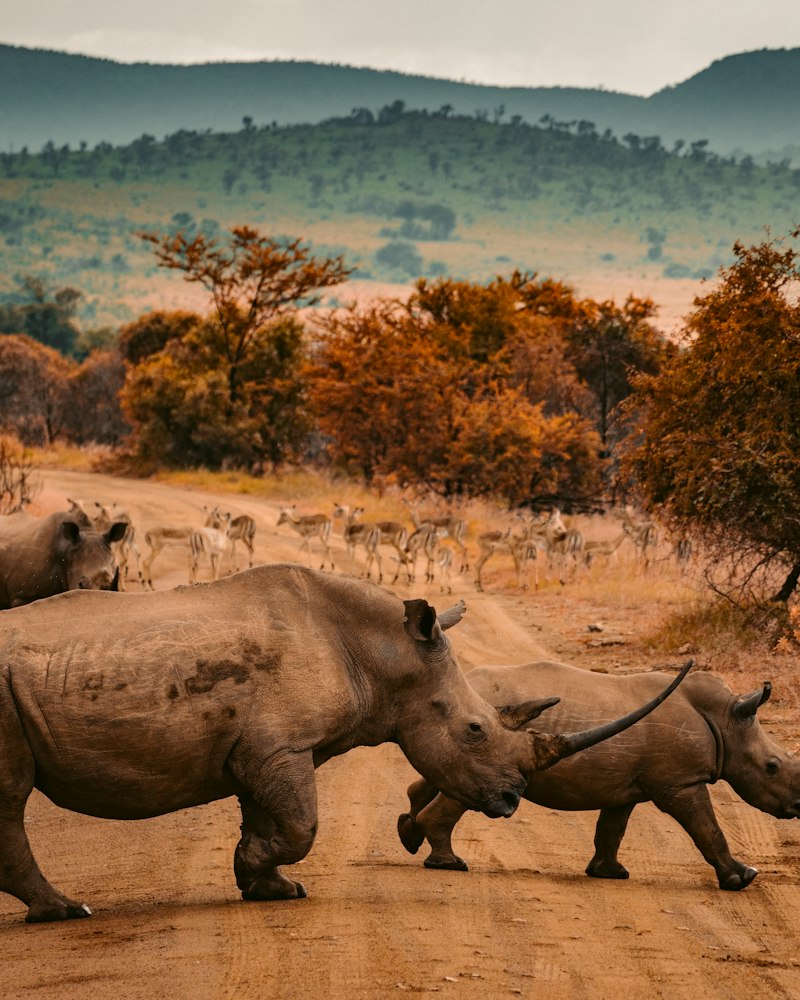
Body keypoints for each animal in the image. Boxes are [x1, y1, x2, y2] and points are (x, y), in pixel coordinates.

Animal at [0, 564, 688, 922]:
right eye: (475, 730)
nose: (512, 800)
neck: (382, 653)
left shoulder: (263, 748)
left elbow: (271, 818)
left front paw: (266, 885)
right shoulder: (278, 746)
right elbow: (302, 824)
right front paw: (254, 870)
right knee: (11, 797)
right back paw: (66, 912)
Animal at [397, 659, 800, 890]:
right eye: (772, 767)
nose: (798, 806)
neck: (726, 720)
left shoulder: (626, 785)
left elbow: (612, 828)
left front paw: (610, 874)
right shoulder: (680, 783)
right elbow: (708, 828)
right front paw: (742, 878)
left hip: (464, 728)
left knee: (440, 775)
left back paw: (410, 835)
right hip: (482, 734)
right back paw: (449, 864)